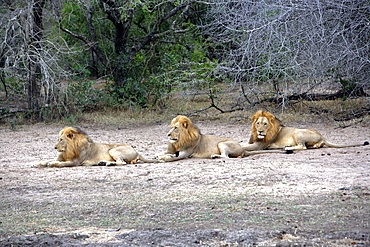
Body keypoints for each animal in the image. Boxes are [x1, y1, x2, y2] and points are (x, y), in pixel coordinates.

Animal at [156, 114, 290, 162]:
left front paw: (163, 158)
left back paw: (215, 156)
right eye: (171, 127)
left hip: (222, 143)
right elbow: (164, 153)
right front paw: (159, 155)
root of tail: (242, 149)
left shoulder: (185, 153)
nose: (168, 135)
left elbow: (173, 157)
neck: (178, 141)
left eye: (175, 128)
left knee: (226, 156)